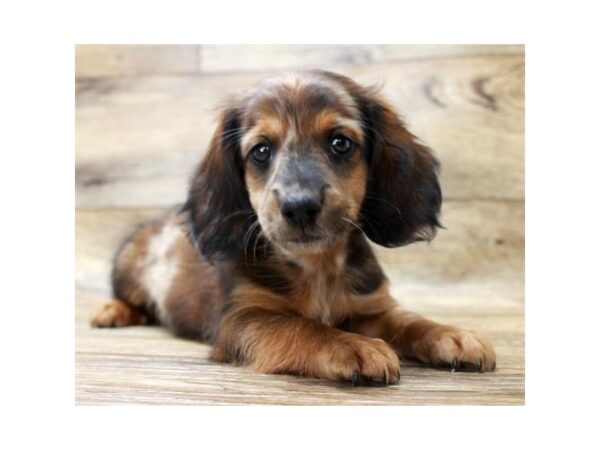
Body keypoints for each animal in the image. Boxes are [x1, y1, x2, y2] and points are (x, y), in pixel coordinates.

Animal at [91, 69, 496, 384]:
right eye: (260, 151)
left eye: (340, 142)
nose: (299, 207)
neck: (318, 267)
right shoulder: (244, 319)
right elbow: (302, 326)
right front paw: (351, 344)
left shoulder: (370, 308)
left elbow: (407, 319)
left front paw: (452, 334)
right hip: (127, 268)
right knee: (133, 300)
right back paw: (112, 311)